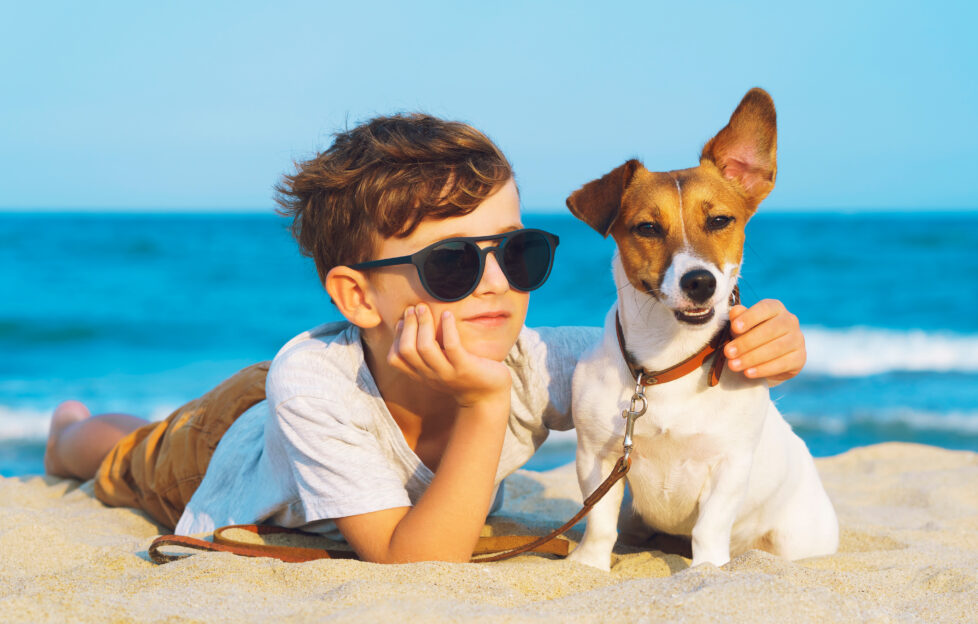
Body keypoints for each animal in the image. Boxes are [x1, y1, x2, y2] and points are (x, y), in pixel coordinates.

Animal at [564, 88, 840, 572]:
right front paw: (589, 565)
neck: (666, 363)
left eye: (719, 221)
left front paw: (707, 569)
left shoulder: (728, 467)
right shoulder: (598, 457)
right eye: (647, 228)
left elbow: (709, 529)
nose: (699, 282)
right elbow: (598, 522)